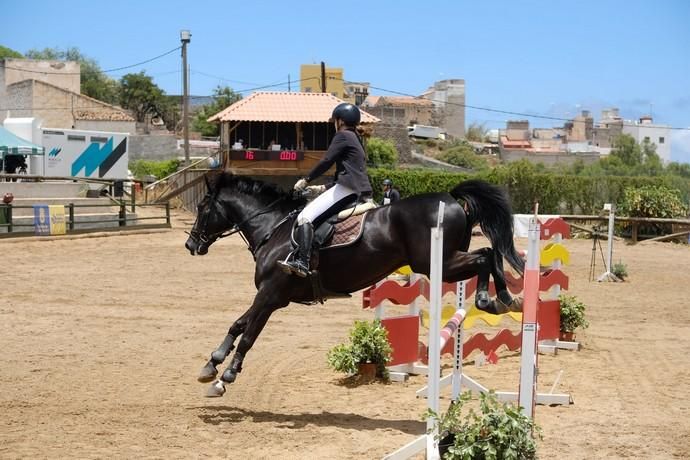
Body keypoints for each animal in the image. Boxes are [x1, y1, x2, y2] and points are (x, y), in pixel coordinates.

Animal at [183, 172, 520, 396]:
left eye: (202, 208)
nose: (190, 245)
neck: (272, 227)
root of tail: (450, 198)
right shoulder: (271, 297)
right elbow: (238, 325)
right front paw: (211, 365)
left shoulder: (270, 295)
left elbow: (249, 335)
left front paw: (226, 376)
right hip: (446, 263)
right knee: (487, 254)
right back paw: (498, 299)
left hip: (440, 264)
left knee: (485, 256)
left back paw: (494, 298)